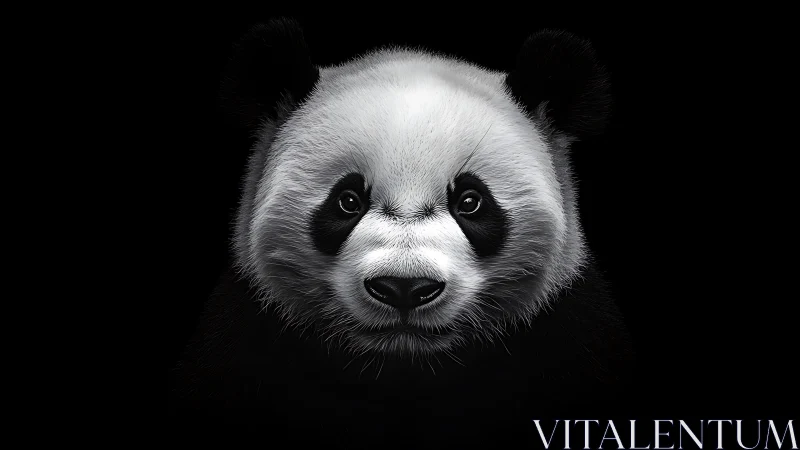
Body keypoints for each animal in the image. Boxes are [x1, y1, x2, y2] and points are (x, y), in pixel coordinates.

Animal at [169, 18, 634, 444]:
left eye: (471, 201)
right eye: (347, 201)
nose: (404, 287)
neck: (404, 367)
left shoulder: (570, 335)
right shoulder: (244, 340)